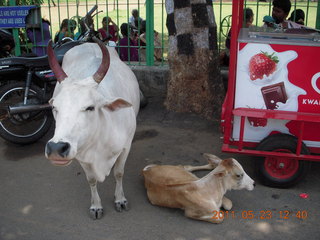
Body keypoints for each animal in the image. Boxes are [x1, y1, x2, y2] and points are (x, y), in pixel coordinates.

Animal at [44, 38, 139, 220]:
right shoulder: (81, 155)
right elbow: (91, 180)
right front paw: (96, 206)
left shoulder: (126, 147)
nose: (56, 148)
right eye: (55, 107)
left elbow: (119, 173)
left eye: (90, 107)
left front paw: (120, 200)